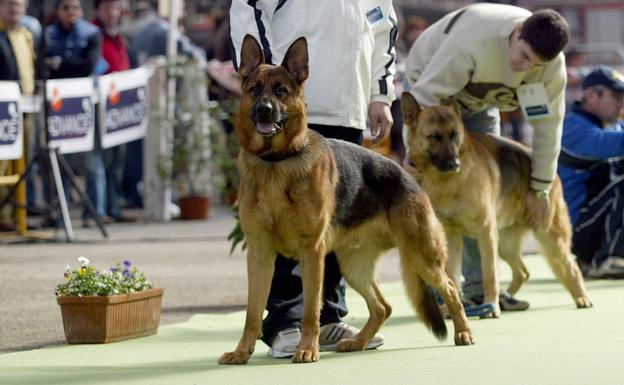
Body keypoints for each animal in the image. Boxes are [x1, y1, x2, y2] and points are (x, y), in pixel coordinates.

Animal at [218, 37, 472, 364]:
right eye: (254, 89)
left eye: (280, 90)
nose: (264, 110)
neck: (276, 162)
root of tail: (408, 176)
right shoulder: (260, 255)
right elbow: (251, 313)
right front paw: (241, 352)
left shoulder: (311, 252)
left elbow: (311, 310)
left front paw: (307, 349)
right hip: (354, 267)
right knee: (383, 306)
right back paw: (359, 342)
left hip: (420, 256)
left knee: (451, 288)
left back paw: (463, 333)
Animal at [400, 92, 588, 316]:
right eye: (434, 137)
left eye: (454, 135)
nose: (455, 164)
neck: (448, 183)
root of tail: (553, 176)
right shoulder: (451, 238)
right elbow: (452, 277)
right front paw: (452, 307)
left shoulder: (485, 232)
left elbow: (489, 274)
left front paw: (490, 305)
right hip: (505, 245)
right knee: (523, 271)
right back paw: (508, 298)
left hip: (548, 237)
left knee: (571, 266)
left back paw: (581, 298)